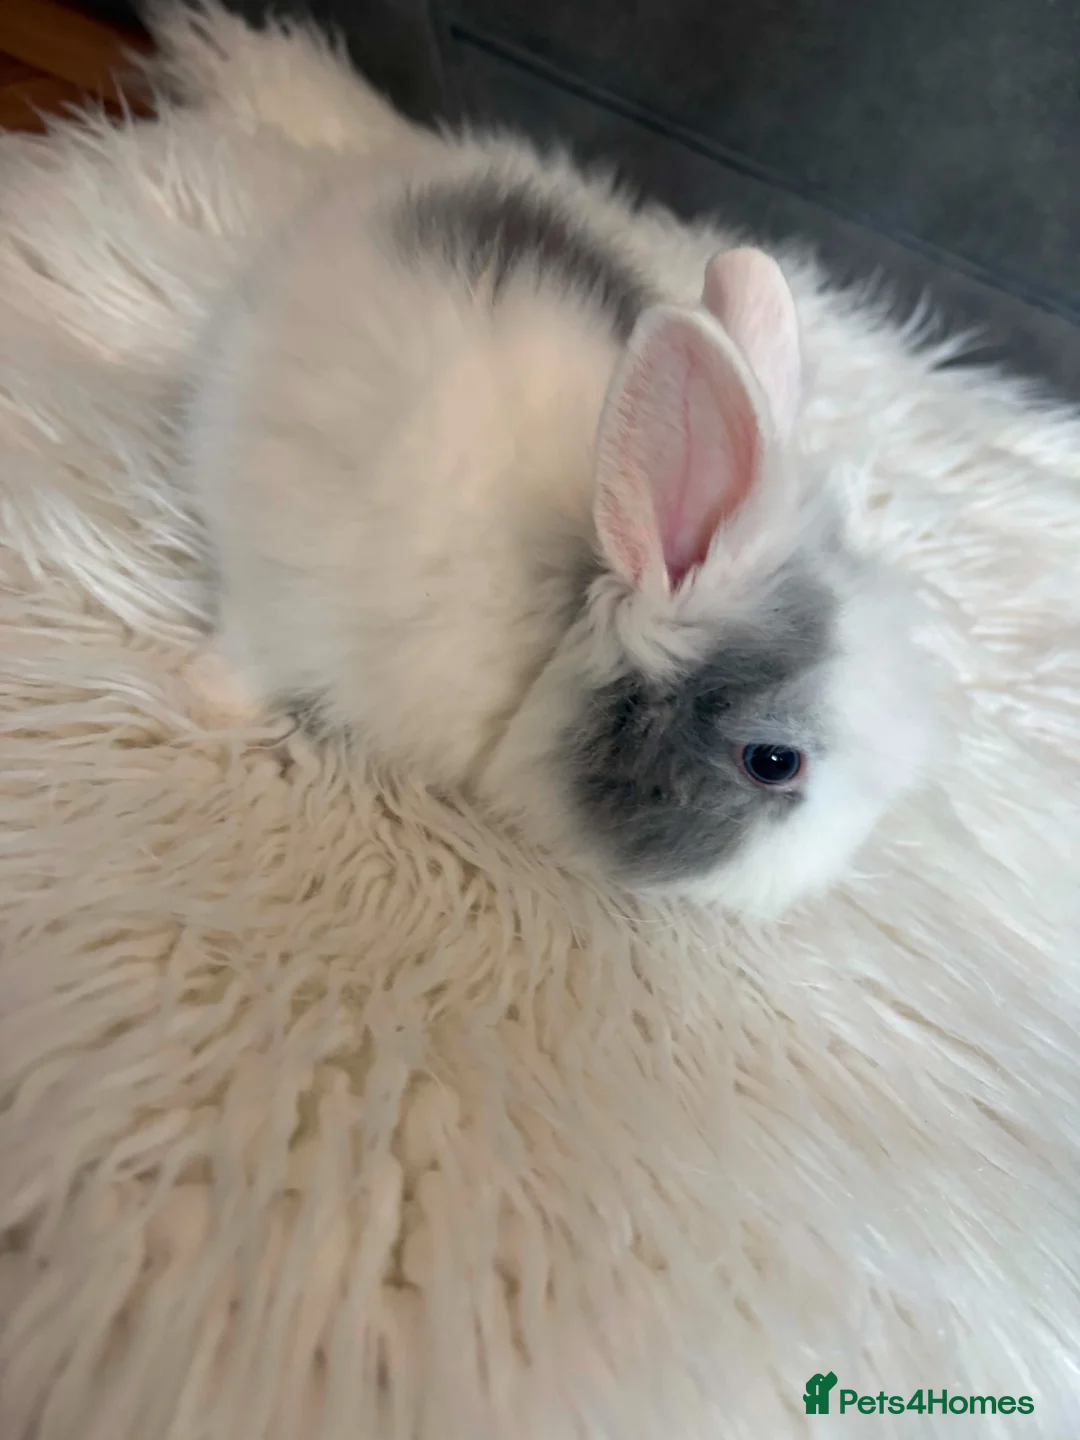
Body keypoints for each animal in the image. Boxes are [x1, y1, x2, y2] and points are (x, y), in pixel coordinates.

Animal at [181, 134, 930, 918]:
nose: (821, 880)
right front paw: (209, 699)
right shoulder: (295, 604)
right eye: (774, 762)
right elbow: (252, 652)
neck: (563, 617)